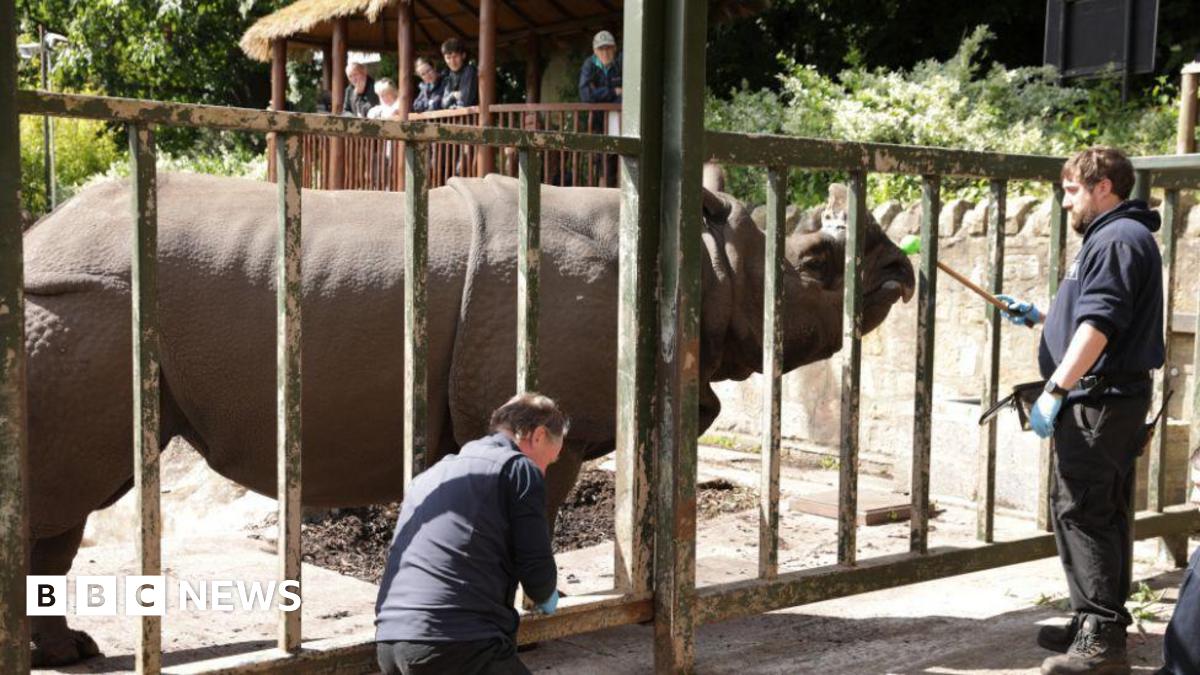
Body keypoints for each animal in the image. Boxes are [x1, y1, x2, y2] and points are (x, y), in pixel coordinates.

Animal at [20, 172, 914, 665]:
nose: (901, 274)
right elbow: (539, 520)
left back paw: (67, 652)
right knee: (68, 492)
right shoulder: (557, 422)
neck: (710, 266)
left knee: (62, 505)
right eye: (817, 266)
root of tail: (36, 240)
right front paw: (536, 621)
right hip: (86, 306)